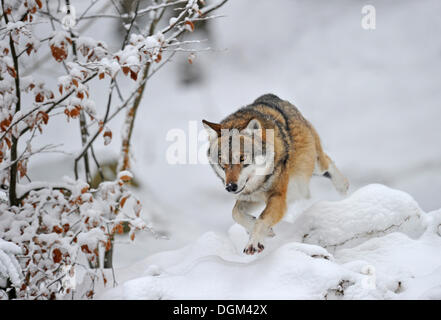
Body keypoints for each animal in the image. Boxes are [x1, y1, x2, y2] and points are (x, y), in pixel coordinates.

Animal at [201, 93, 348, 255]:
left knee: (328, 162)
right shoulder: (252, 197)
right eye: (222, 162)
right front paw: (264, 230)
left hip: (313, 165)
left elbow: (262, 218)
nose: (230, 187)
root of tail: (272, 96)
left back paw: (343, 187)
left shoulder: (277, 197)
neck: (259, 182)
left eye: (242, 158)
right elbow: (235, 213)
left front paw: (254, 241)